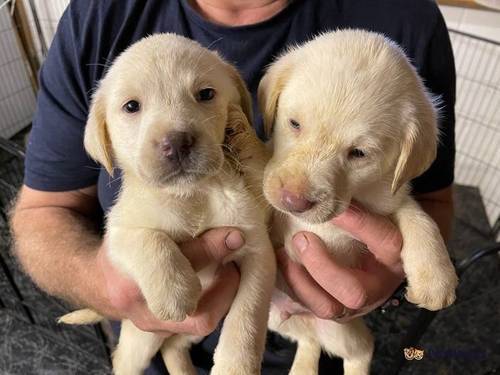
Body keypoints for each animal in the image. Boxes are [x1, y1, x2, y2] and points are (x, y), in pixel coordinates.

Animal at [61, 33, 278, 375]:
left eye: (205, 94)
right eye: (132, 106)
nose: (176, 142)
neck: (191, 197)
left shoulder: (257, 249)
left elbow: (247, 317)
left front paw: (236, 365)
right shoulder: (117, 234)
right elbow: (147, 239)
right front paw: (175, 291)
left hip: (192, 329)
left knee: (173, 346)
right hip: (142, 339)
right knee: (127, 359)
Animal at [260, 29, 458, 375]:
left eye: (358, 153)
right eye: (294, 123)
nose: (293, 201)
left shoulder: (391, 198)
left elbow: (420, 219)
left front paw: (436, 278)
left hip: (339, 330)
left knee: (361, 348)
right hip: (277, 316)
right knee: (308, 341)